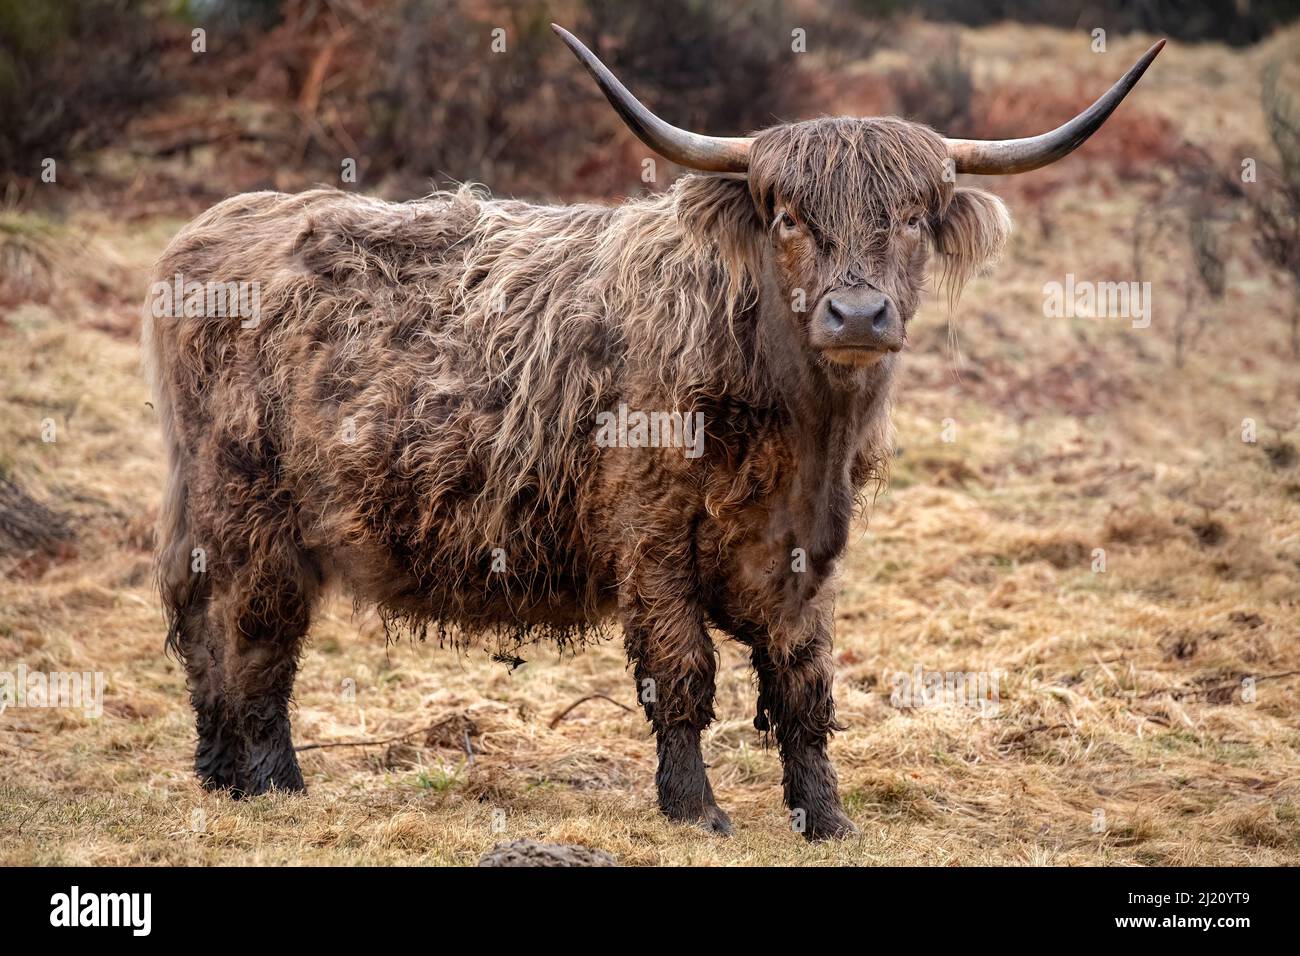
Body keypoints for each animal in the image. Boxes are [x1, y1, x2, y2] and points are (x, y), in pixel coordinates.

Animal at [144, 25, 1163, 839]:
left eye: (913, 218)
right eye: (788, 218)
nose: (858, 314)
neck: (798, 431)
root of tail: (219, 223)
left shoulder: (808, 551)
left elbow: (804, 685)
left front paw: (826, 816)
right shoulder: (651, 531)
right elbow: (683, 671)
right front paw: (696, 808)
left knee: (203, 631)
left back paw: (220, 775)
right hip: (251, 506)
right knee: (253, 636)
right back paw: (273, 782)